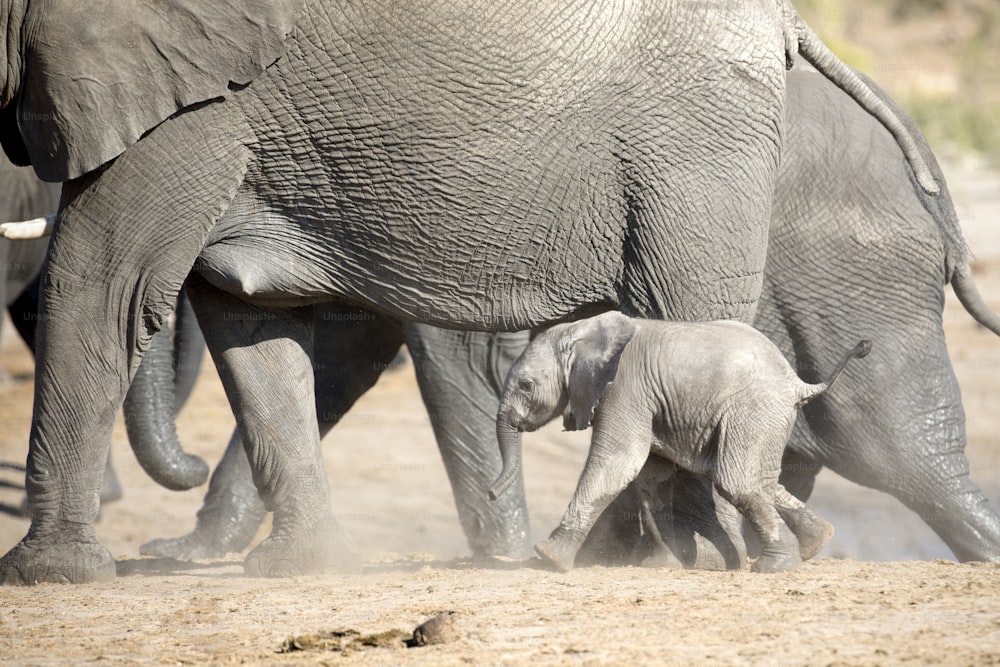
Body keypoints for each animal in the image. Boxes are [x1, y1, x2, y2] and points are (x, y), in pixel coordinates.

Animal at [488, 314, 872, 576]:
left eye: (525, 385)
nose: (491, 494)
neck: (582, 330)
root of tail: (796, 383)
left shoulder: (625, 388)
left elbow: (619, 461)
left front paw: (547, 556)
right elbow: (650, 476)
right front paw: (661, 564)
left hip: (752, 409)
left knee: (736, 480)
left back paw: (774, 567)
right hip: (767, 417)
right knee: (761, 480)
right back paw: (816, 543)